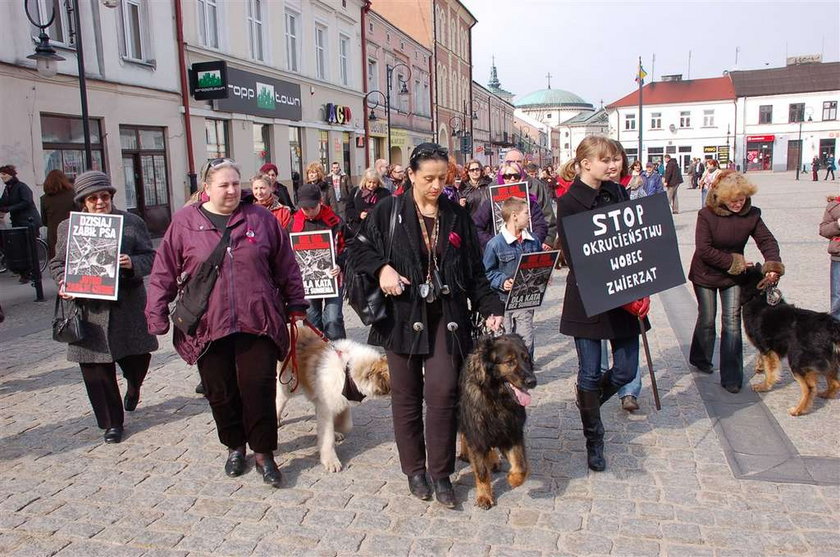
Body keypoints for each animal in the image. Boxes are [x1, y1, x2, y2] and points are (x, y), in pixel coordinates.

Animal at [456, 334, 536, 508]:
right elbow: (481, 472)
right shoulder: (477, 435)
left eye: (526, 359)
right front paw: (484, 496)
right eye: (510, 361)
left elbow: (522, 466)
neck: (497, 400)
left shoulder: (513, 433)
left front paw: (512, 479)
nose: (532, 381)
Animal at [740, 262, 840, 414]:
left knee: (809, 388)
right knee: (835, 383)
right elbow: (763, 359)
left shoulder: (765, 346)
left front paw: (764, 386)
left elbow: (770, 369)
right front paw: (759, 367)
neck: (758, 296)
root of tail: (831, 326)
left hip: (797, 359)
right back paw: (825, 394)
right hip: (828, 361)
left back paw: (798, 410)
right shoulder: (768, 347)